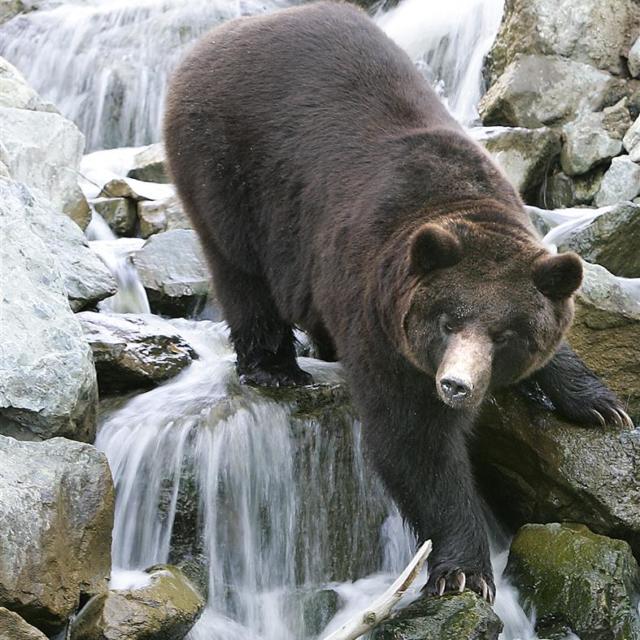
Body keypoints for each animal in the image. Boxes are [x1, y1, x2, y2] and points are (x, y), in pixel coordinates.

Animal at [162, 0, 632, 604]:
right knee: (240, 273)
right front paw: (464, 569)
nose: (456, 386)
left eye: (507, 332)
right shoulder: (377, 311)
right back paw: (275, 367)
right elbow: (414, 442)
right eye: (447, 321)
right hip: (226, 170)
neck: (454, 202)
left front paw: (599, 404)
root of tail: (209, 42)